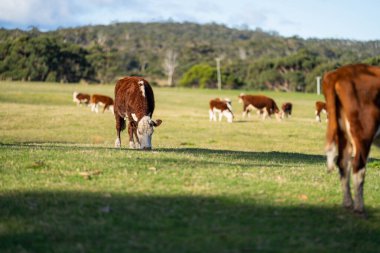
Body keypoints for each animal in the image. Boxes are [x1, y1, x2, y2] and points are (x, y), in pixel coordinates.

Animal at [322, 63, 380, 215]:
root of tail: (340, 72)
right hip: (365, 130)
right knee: (358, 165)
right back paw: (359, 207)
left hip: (342, 132)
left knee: (343, 163)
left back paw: (348, 203)